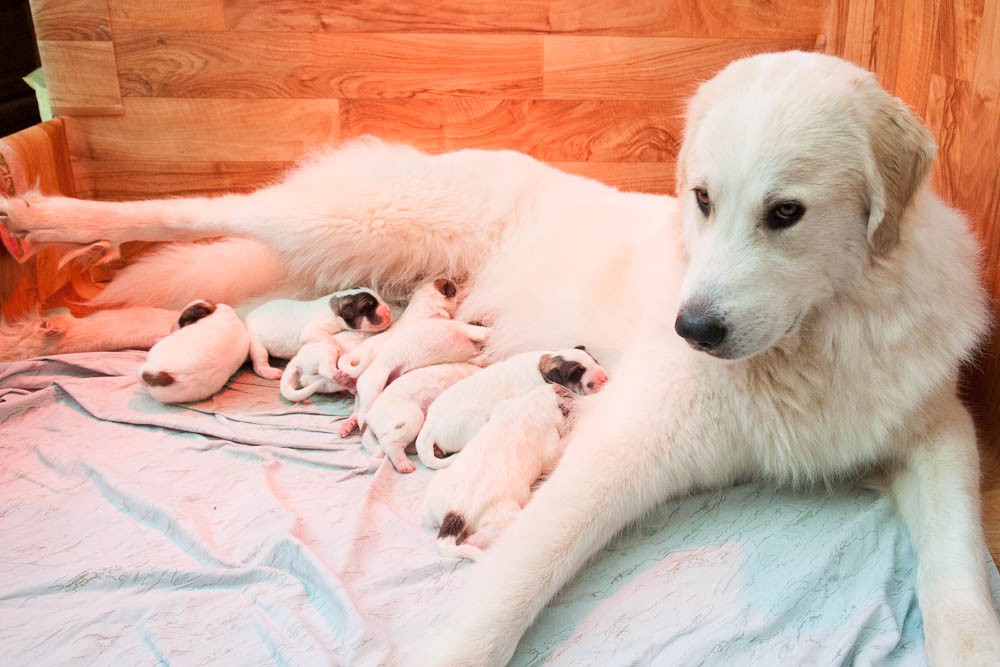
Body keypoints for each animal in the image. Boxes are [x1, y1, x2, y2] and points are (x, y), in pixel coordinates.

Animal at [244, 288, 392, 380]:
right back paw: (271, 372)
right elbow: (325, 337)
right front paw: (337, 348)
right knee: (259, 362)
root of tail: (246, 318)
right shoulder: (313, 329)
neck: (334, 307)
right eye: (367, 307)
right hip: (256, 343)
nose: (388, 312)